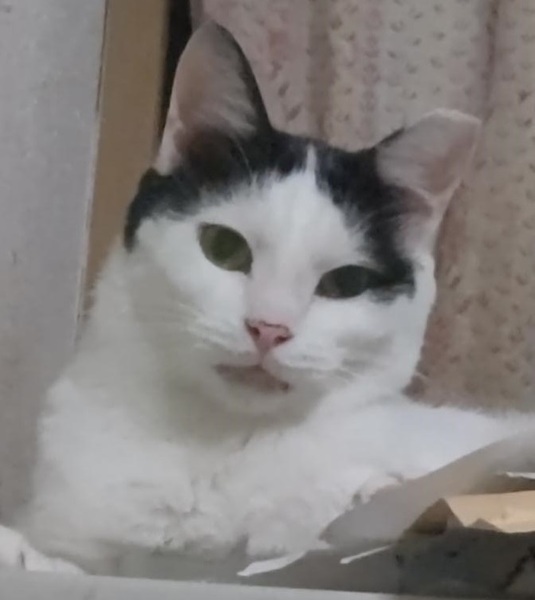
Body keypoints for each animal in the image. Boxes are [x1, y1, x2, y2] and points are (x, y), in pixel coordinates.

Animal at [0, 21, 531, 576]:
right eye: (224, 248)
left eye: (345, 283)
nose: (269, 328)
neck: (222, 445)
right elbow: (69, 562)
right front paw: (18, 551)